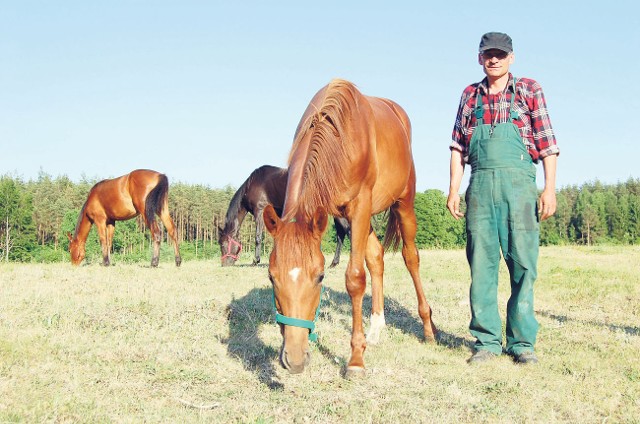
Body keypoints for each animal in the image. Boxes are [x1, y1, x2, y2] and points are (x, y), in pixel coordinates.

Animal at [219, 164, 350, 266]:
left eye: (223, 244)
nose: (224, 264)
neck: (251, 184)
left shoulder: (259, 211)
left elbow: (258, 237)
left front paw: (256, 260)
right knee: (341, 234)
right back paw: (334, 263)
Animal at [262, 79, 438, 374]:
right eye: (271, 277)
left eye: (320, 276)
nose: (295, 359)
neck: (339, 139)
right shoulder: (348, 215)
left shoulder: (360, 207)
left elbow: (355, 279)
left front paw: (356, 359)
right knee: (376, 257)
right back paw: (376, 328)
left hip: (403, 203)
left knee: (411, 258)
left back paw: (428, 328)